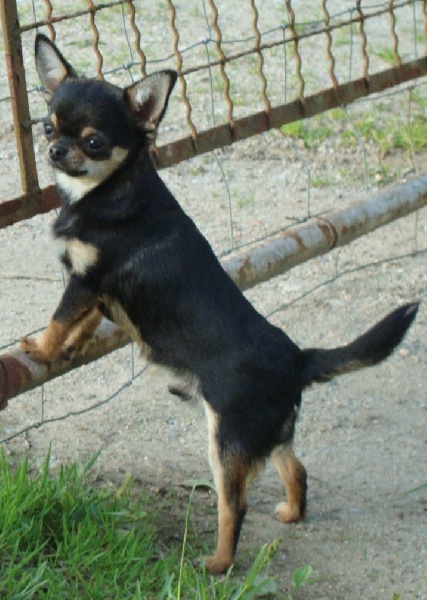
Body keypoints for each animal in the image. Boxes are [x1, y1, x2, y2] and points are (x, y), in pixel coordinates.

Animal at [22, 33, 419, 575]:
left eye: (94, 141)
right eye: (47, 125)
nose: (55, 148)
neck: (106, 191)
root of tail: (298, 359)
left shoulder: (86, 280)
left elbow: (59, 319)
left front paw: (41, 350)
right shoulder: (98, 293)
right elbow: (80, 326)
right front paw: (67, 350)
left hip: (227, 440)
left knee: (235, 504)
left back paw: (217, 563)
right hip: (265, 434)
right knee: (297, 468)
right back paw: (292, 512)